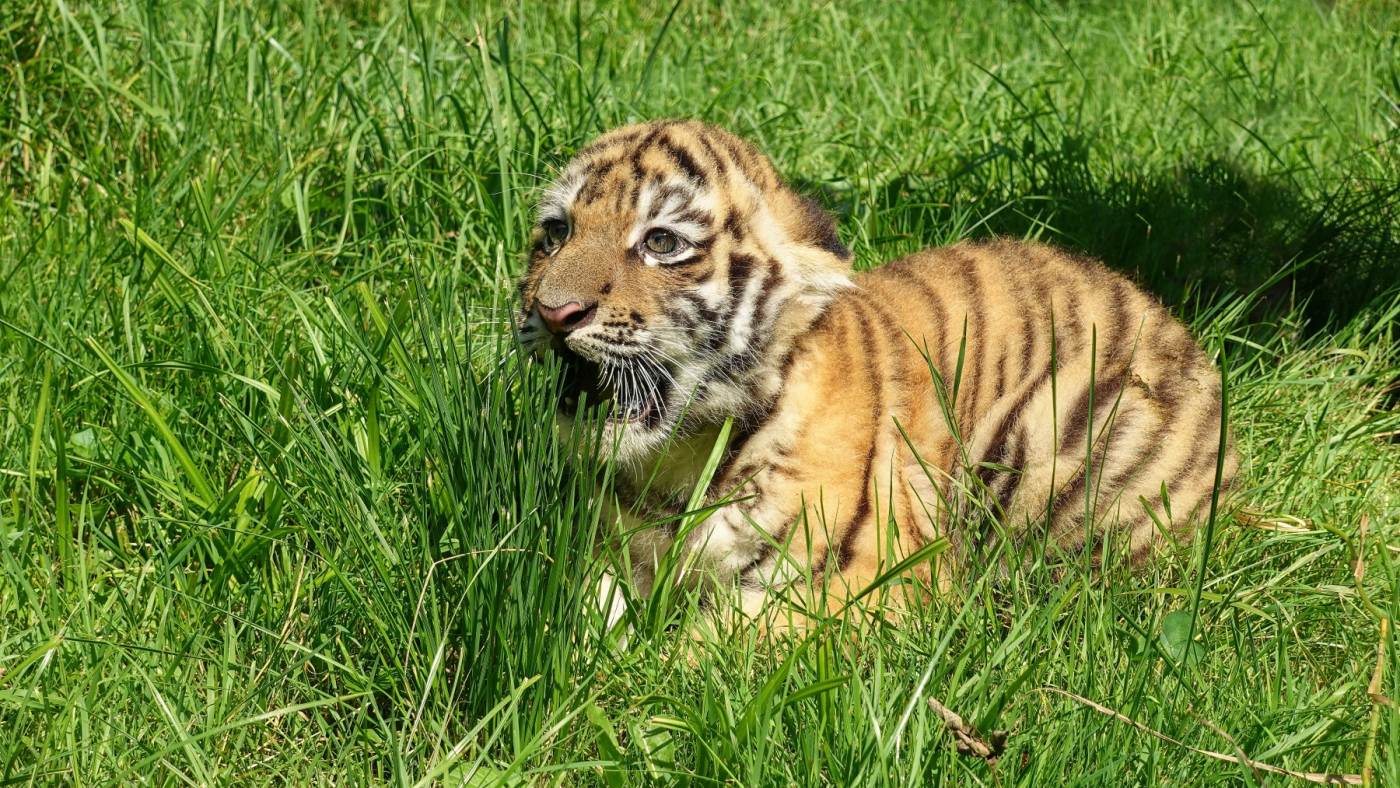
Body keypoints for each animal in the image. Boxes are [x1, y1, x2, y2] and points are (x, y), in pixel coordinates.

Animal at [516, 119, 1237, 629]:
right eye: (555, 233)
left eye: (662, 243)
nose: (553, 312)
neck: (678, 465)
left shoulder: (864, 580)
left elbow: (702, 660)